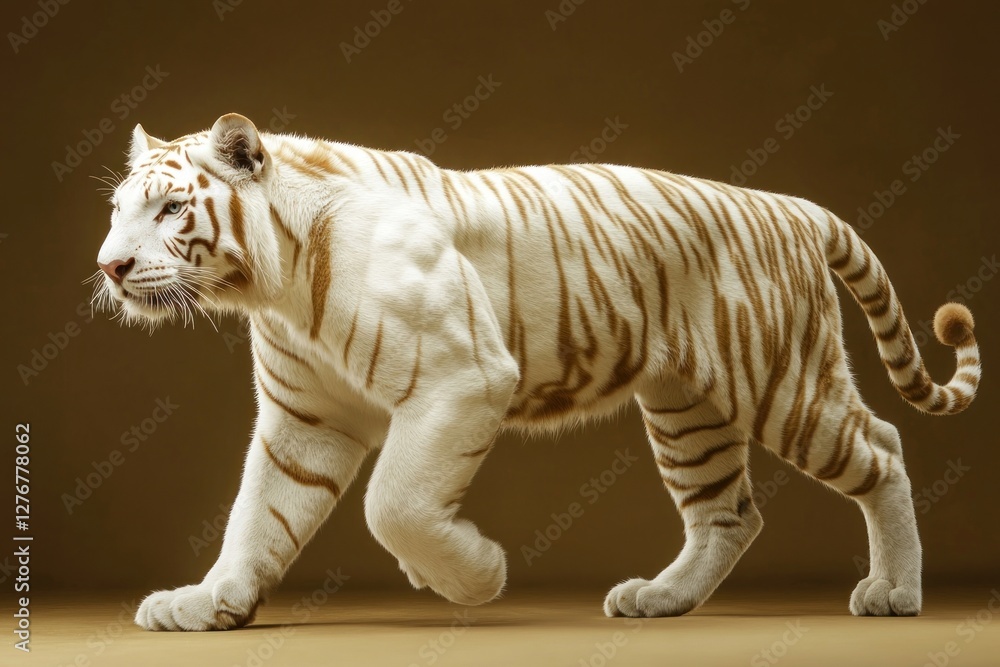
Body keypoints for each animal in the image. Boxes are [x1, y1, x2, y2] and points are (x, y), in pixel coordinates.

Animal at [93, 113, 980, 631]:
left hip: (781, 382)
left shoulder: (462, 373)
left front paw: (469, 576)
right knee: (729, 513)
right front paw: (209, 601)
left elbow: (395, 502)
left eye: (172, 208)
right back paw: (660, 598)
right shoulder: (306, 418)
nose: (110, 266)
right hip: (687, 409)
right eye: (117, 211)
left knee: (883, 448)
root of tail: (791, 206)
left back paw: (895, 592)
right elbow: (259, 513)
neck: (269, 283)